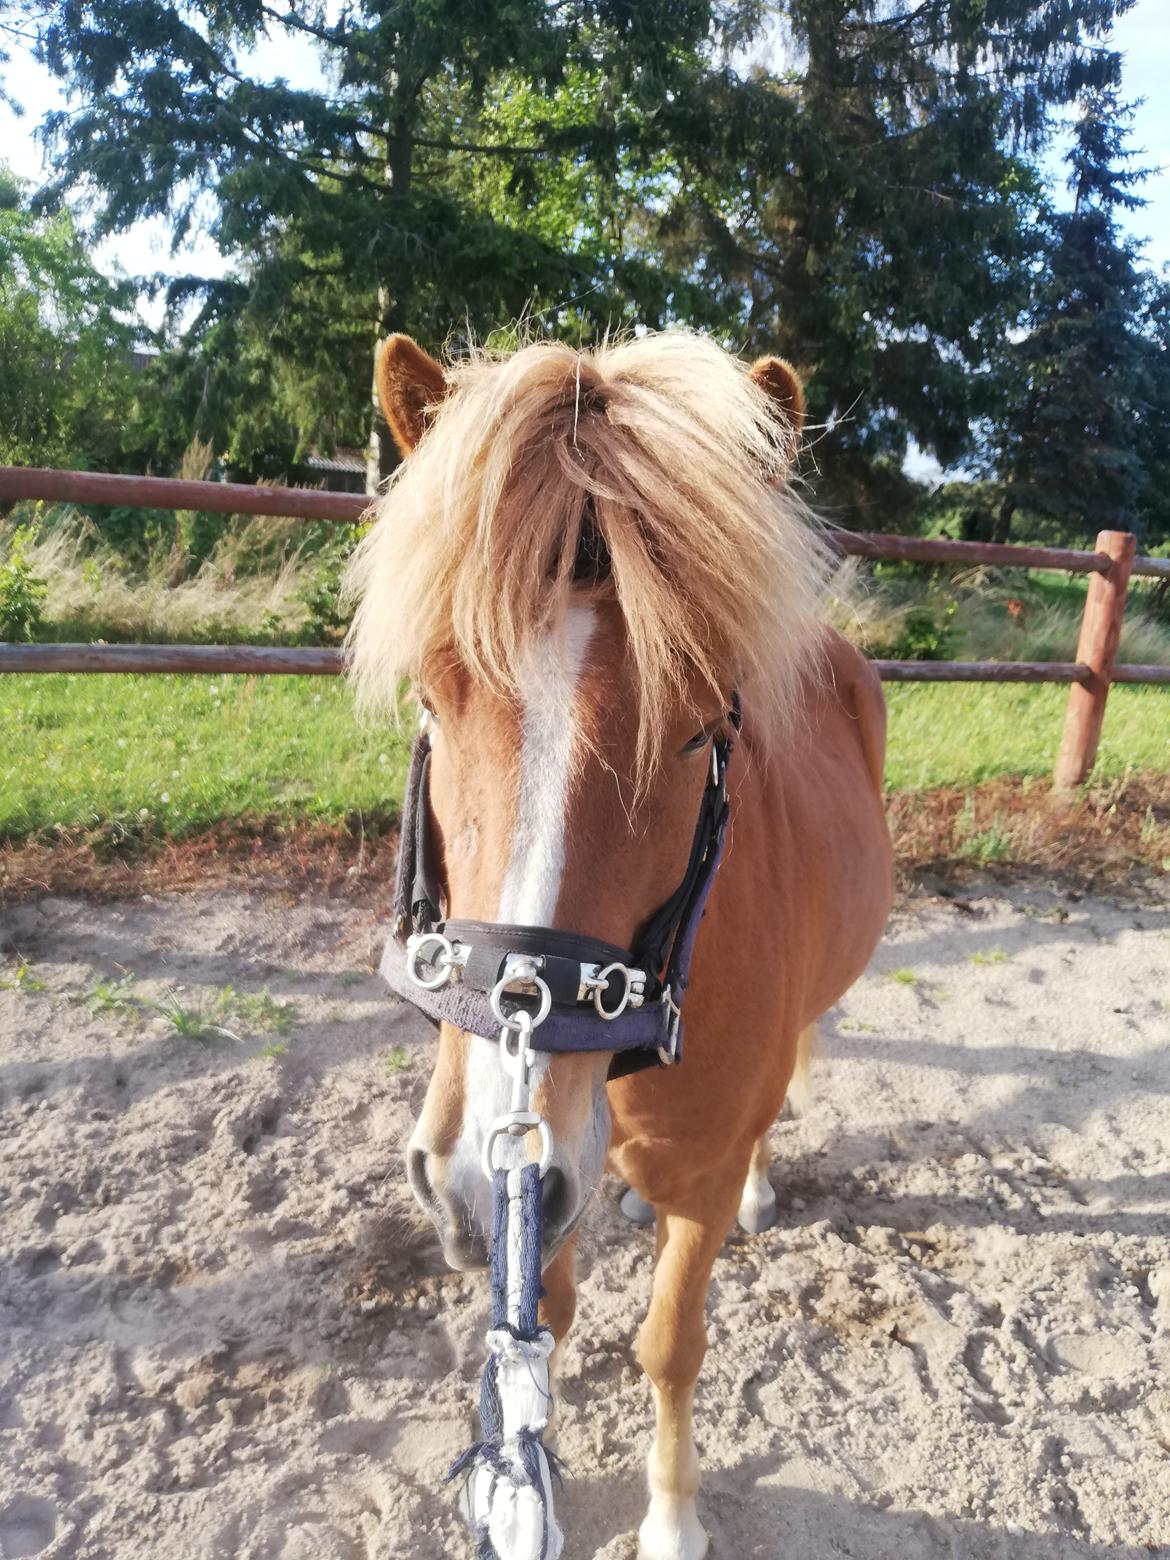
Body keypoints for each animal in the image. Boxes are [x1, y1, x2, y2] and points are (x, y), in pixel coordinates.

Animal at [343, 322, 892, 1553]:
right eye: (435, 701)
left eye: (701, 729)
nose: (480, 1169)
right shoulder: (530, 1190)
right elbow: (536, 1323)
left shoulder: (693, 1178)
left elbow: (670, 1344)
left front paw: (674, 1516)